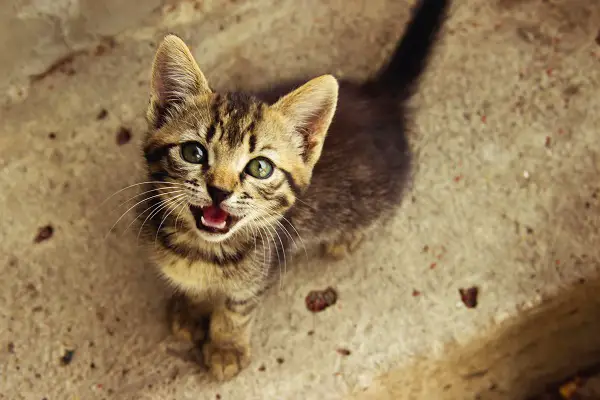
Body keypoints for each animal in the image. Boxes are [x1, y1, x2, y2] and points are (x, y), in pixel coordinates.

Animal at [139, 0, 450, 382]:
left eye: (260, 168)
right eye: (193, 152)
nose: (219, 191)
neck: (202, 250)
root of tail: (377, 97)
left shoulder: (259, 276)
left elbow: (235, 311)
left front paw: (226, 348)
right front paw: (191, 310)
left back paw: (347, 238)